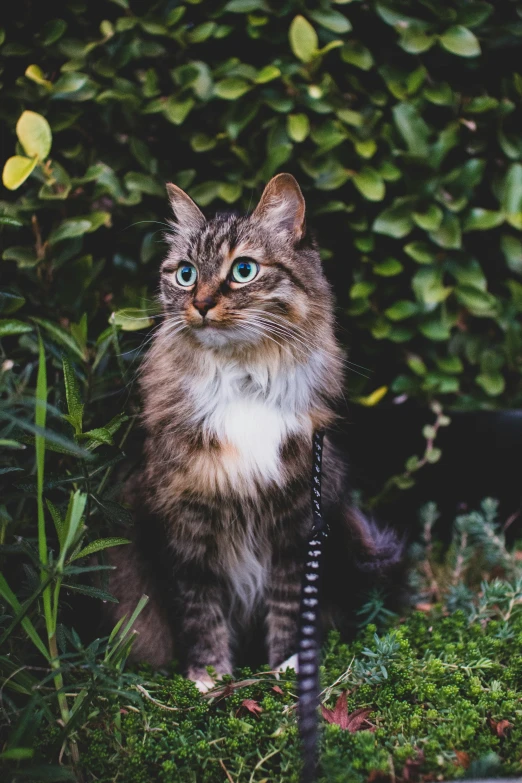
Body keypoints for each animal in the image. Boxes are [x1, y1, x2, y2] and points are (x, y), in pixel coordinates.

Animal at [106, 173, 402, 692]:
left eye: (243, 270)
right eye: (185, 275)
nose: (201, 304)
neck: (241, 382)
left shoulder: (298, 526)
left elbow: (290, 611)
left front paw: (289, 670)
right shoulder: (185, 530)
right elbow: (200, 613)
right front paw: (208, 680)